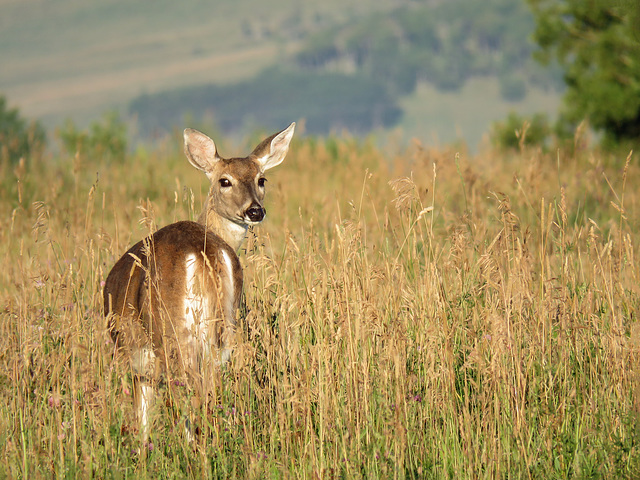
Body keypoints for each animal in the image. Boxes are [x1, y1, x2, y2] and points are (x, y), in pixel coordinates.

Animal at [104, 122, 296, 440]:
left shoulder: (135, 361)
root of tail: (206, 252)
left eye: (261, 179)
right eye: (225, 181)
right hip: (225, 331)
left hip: (173, 333)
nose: (255, 210)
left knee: (190, 393)